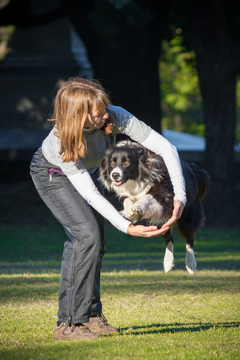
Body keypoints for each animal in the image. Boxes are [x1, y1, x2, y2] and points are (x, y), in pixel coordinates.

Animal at [99, 139, 210, 274]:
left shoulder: (165, 196)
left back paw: (190, 263)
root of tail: (192, 168)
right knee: (168, 237)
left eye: (126, 162)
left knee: (189, 236)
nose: (114, 175)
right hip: (163, 221)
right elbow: (127, 200)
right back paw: (168, 263)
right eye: (112, 162)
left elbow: (148, 196)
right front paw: (130, 211)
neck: (136, 178)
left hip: (188, 212)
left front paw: (138, 206)